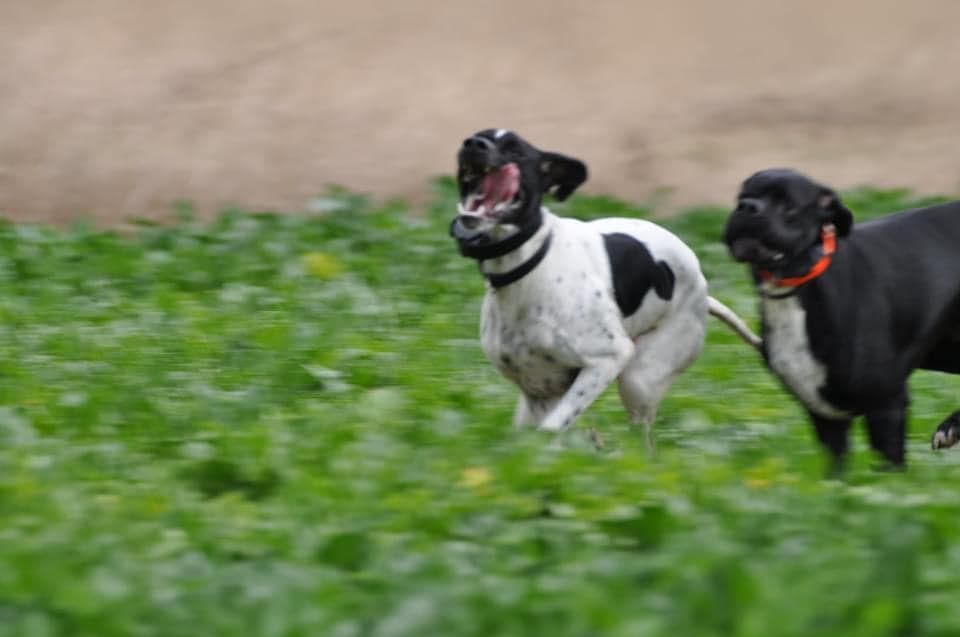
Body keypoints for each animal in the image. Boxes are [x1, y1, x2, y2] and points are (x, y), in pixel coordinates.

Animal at [449, 128, 760, 442]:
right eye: (475, 137)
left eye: (515, 151)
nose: (473, 145)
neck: (529, 264)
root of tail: (702, 290)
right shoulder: (538, 391)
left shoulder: (607, 359)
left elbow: (551, 428)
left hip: (640, 378)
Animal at [723, 168, 960, 472]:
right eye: (741, 197)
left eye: (787, 204)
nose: (747, 207)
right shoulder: (826, 417)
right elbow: (837, 472)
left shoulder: (887, 404)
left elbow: (888, 468)